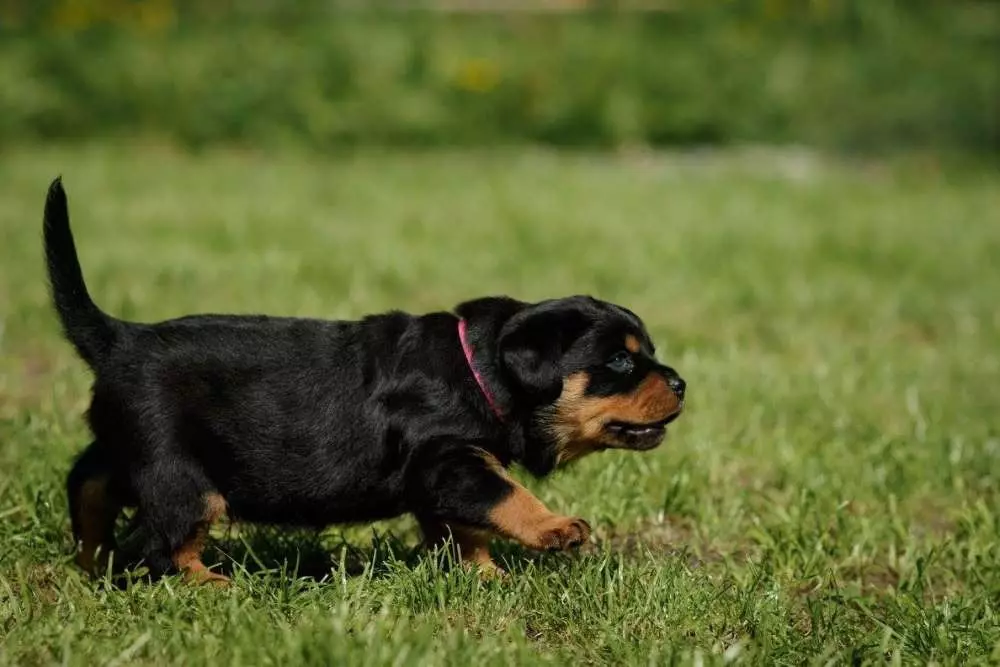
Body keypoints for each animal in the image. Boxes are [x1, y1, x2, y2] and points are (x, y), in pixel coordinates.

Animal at [47, 179, 688, 584]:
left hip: (127, 445)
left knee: (89, 481)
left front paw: (486, 578)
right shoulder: (449, 459)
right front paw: (555, 528)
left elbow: (462, 530)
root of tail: (121, 338)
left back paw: (90, 559)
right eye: (621, 362)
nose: (681, 383)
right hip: (180, 473)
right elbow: (503, 496)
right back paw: (215, 587)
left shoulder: (445, 474)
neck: (480, 372)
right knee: (159, 547)